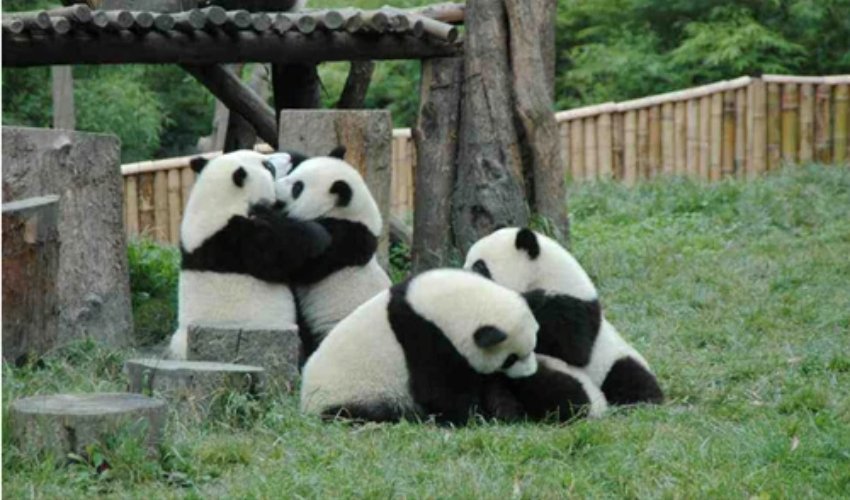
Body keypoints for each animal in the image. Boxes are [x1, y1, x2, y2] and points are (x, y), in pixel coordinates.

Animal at [301, 269, 605, 424]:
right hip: (355, 393)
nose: (528, 372)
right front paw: (476, 416)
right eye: (511, 358)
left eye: (535, 344)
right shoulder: (424, 340)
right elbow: (442, 391)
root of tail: (305, 399)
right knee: (372, 411)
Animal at [464, 227, 663, 406]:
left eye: (479, 266)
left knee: (630, 376)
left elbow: (573, 348)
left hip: (613, 359)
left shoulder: (576, 306)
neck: (543, 275)